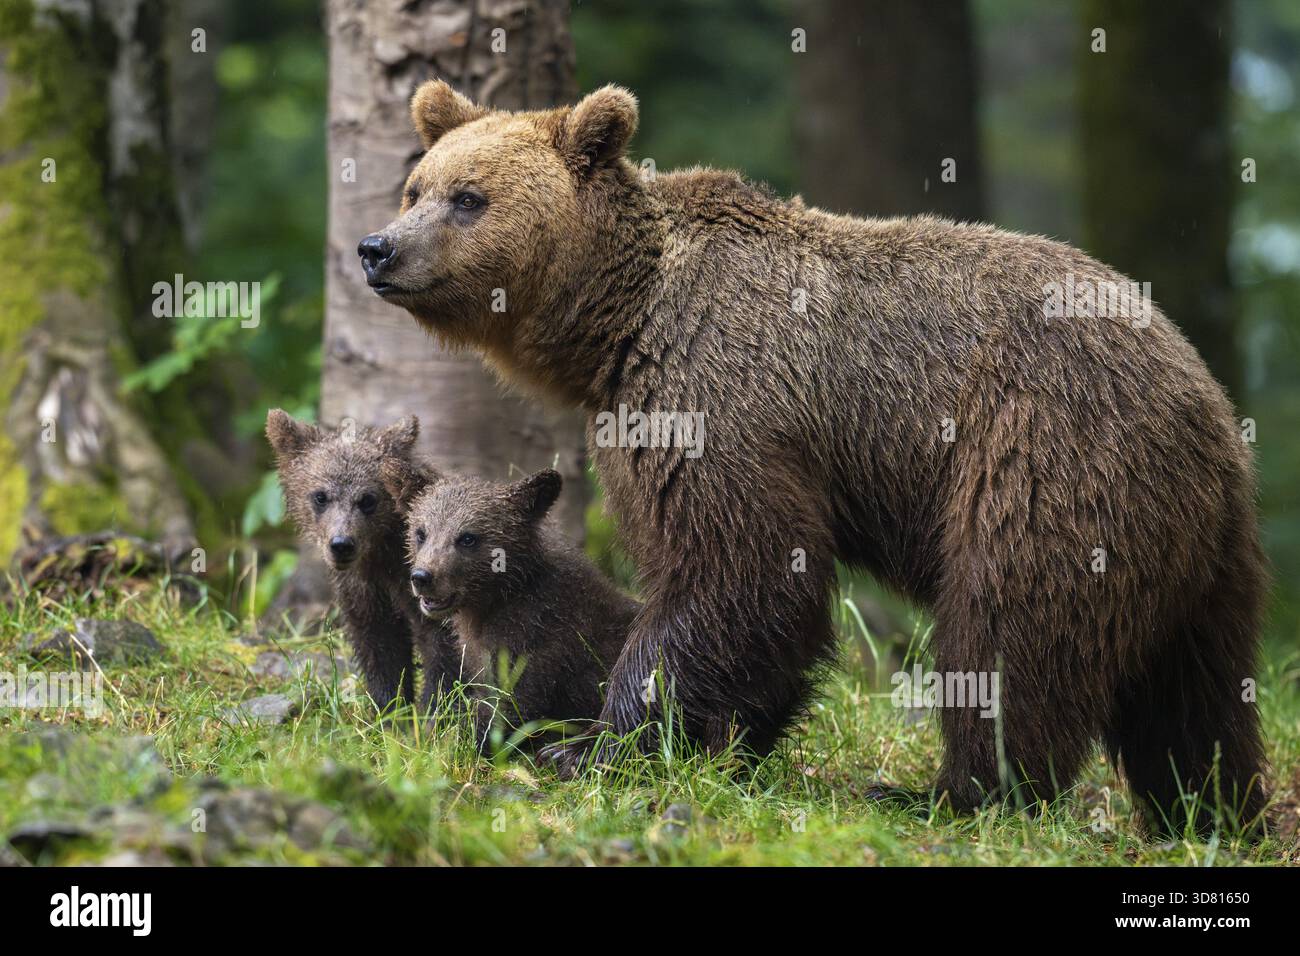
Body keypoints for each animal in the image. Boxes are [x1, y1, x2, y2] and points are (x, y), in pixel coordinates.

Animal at [266, 409, 460, 716]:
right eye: (320, 496)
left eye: (368, 499)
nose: (342, 544)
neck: (382, 555)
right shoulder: (364, 589)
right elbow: (379, 647)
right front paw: (390, 710)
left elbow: (443, 647)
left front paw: (434, 712)